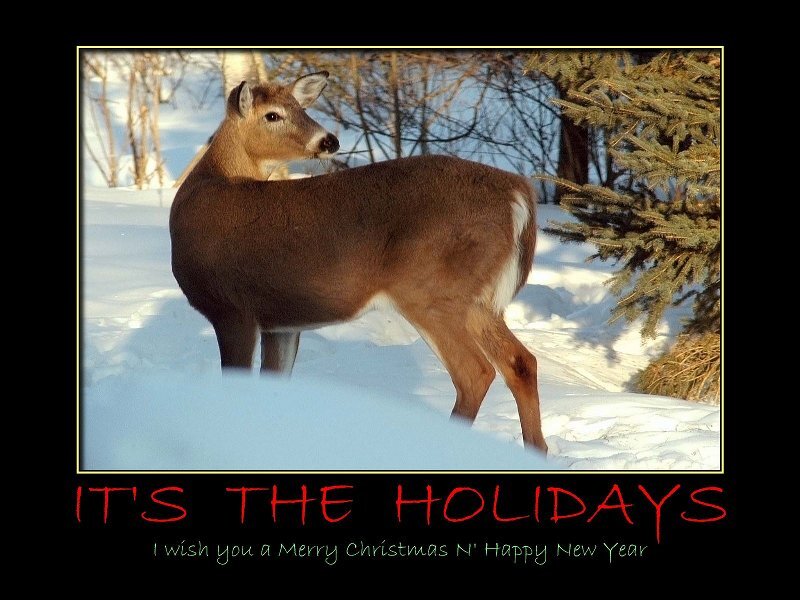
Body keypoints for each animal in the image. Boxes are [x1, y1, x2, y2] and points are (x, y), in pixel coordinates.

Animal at [169, 71, 548, 453]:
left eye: (299, 107)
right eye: (273, 114)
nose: (329, 140)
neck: (209, 184)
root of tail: (518, 192)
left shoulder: (231, 308)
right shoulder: (280, 321)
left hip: (429, 290)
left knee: (475, 372)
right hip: (480, 300)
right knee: (521, 362)